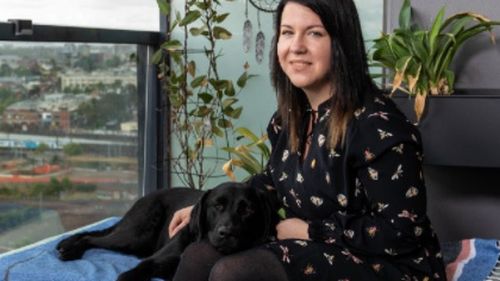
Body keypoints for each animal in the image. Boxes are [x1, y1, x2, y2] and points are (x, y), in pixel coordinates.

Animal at [57, 182, 282, 280]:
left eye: (248, 210)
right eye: (217, 206)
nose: (226, 233)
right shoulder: (150, 262)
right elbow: (130, 275)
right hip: (135, 236)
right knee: (92, 237)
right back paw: (69, 249)